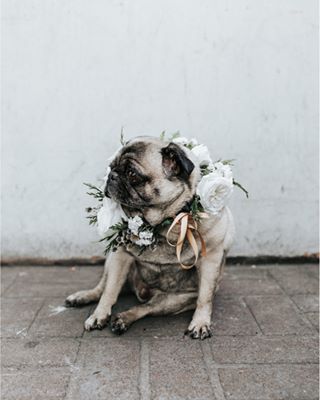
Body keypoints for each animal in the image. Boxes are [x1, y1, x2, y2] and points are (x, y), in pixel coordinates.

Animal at [65, 136, 235, 340]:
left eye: (131, 173)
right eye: (111, 167)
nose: (112, 176)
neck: (166, 224)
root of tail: (141, 291)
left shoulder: (210, 259)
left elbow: (205, 297)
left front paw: (200, 323)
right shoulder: (120, 257)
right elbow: (110, 291)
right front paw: (99, 315)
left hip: (173, 301)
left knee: (146, 308)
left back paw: (123, 319)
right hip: (111, 260)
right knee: (102, 287)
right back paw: (83, 297)